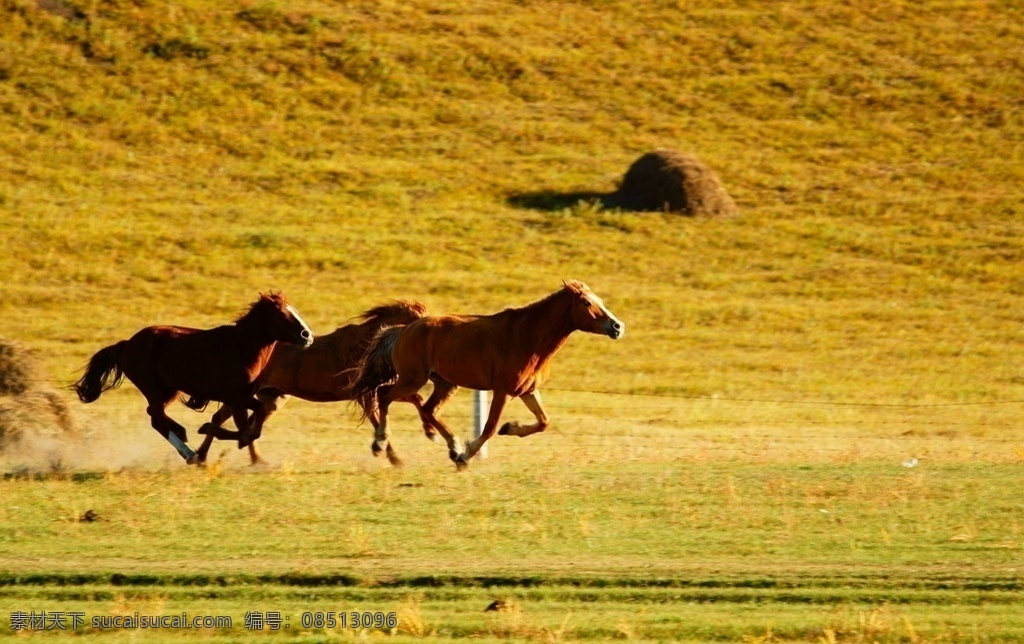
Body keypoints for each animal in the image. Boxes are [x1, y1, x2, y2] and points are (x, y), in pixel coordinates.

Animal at [72, 292, 313, 464]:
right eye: (280, 314)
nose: (307, 336)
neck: (241, 347)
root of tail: (127, 345)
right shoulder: (236, 398)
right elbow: (247, 427)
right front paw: (207, 432)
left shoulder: (240, 398)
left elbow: (248, 424)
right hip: (153, 388)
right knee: (157, 419)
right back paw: (189, 453)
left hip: (169, 389)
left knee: (154, 415)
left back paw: (185, 438)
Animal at [190, 300, 437, 466]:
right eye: (419, 321)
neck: (367, 345)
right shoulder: (365, 393)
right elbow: (380, 421)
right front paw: (390, 455)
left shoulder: (375, 389)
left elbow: (415, 400)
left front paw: (429, 432)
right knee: (224, 419)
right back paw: (206, 456)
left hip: (272, 398)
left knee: (242, 424)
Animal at [350, 280, 625, 469]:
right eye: (587, 303)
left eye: (599, 300)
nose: (617, 327)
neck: (527, 338)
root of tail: (403, 329)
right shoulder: (503, 391)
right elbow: (490, 427)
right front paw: (466, 456)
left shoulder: (527, 391)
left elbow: (544, 422)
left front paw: (509, 427)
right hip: (413, 379)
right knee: (384, 394)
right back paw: (381, 445)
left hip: (444, 383)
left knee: (428, 409)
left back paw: (452, 447)